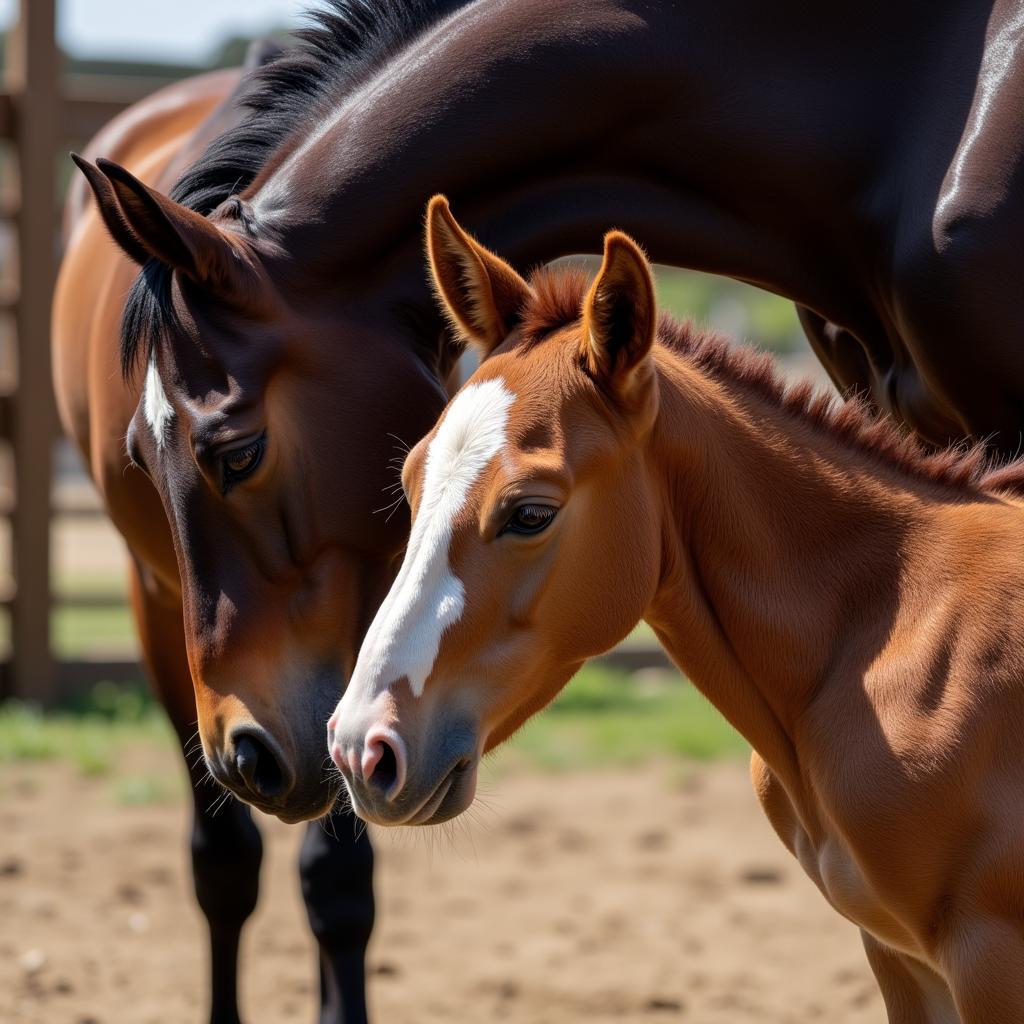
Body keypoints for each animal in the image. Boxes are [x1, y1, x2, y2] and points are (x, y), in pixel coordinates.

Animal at [333, 195, 1024, 1019]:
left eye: (530, 513)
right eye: (410, 482)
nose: (361, 747)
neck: (889, 633)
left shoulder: (988, 960)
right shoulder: (900, 958)